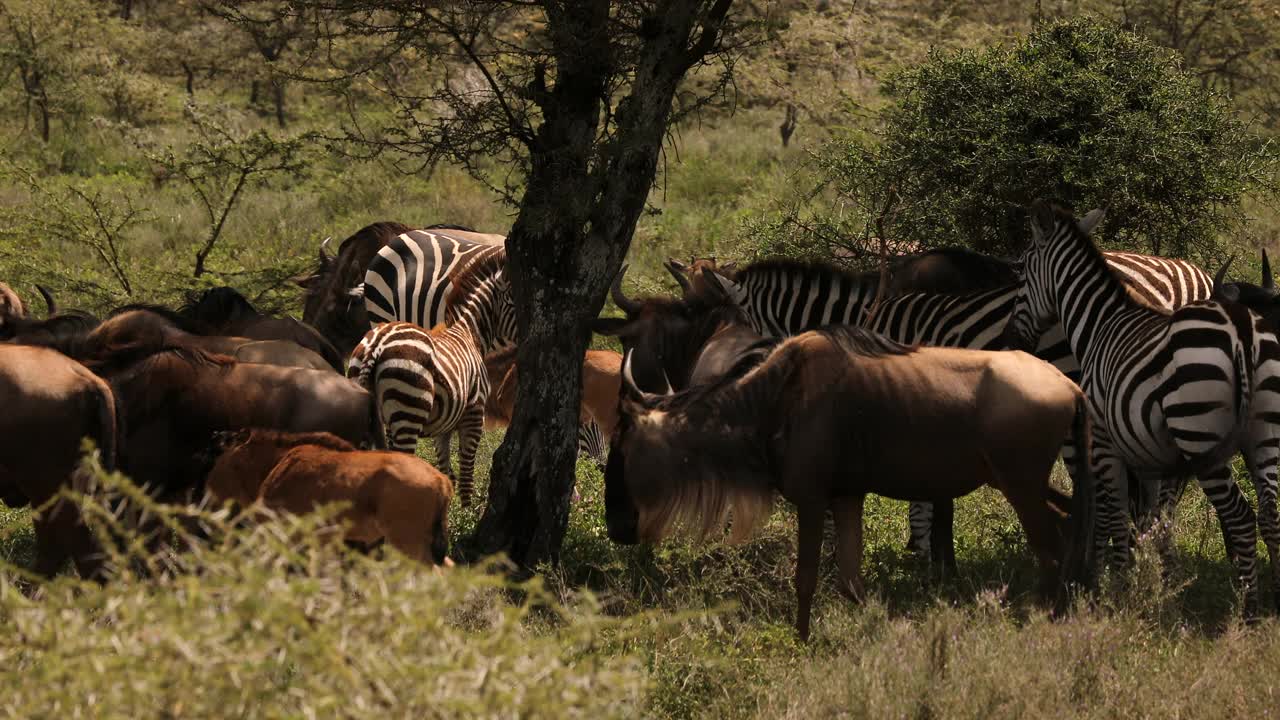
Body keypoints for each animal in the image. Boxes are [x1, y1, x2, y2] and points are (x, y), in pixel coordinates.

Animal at [350, 252, 514, 504]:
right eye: (517, 303)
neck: (469, 332)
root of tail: (377, 345)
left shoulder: (444, 426)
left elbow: (447, 472)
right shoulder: (474, 413)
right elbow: (466, 474)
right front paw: (465, 511)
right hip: (408, 409)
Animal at [1008, 202, 1280, 609]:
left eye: (1022, 271)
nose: (1012, 336)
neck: (1100, 325)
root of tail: (1243, 333)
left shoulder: (1106, 443)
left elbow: (1115, 518)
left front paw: (1115, 589)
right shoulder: (1154, 453)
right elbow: (1154, 519)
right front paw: (1159, 584)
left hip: (1200, 435)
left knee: (1241, 518)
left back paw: (1248, 609)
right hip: (1264, 437)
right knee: (1271, 514)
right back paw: (1274, 598)